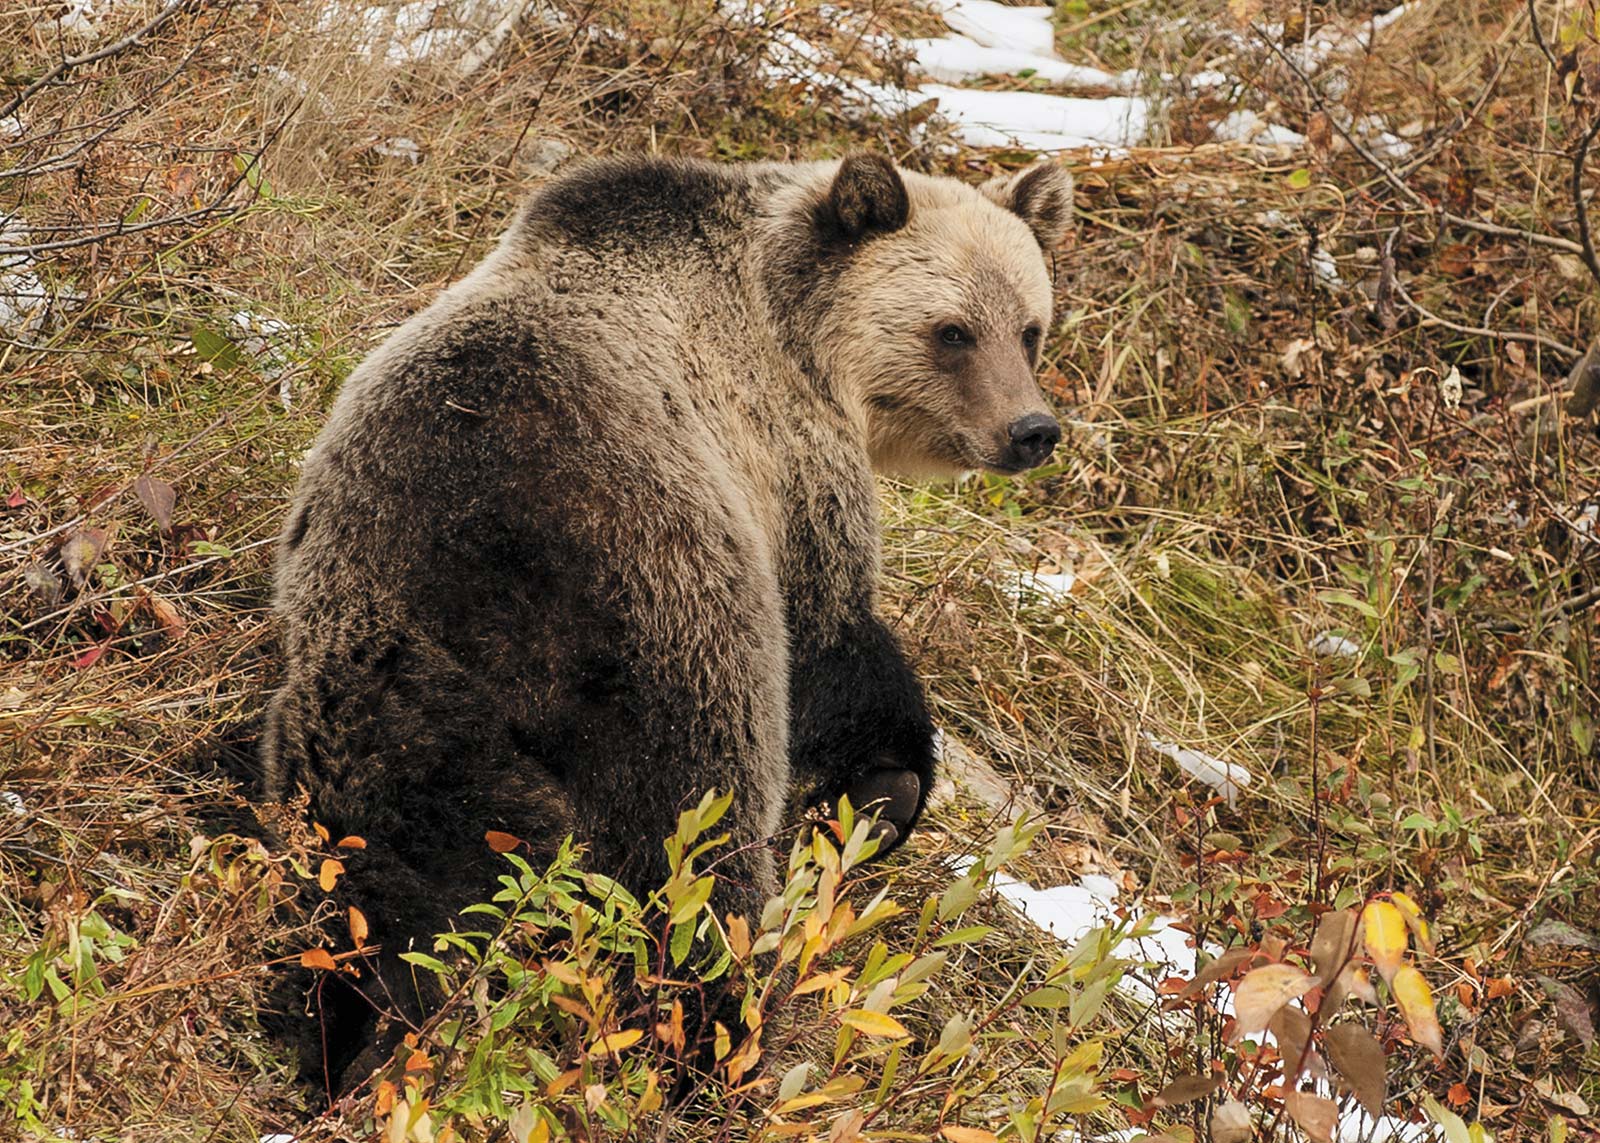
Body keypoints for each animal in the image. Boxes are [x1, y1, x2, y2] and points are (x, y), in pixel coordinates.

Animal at [262, 153, 1068, 1088]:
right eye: (953, 331)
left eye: (1030, 329)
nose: (1030, 429)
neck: (797, 328)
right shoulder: (786, 463)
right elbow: (832, 641)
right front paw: (888, 783)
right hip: (661, 616)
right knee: (689, 844)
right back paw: (718, 1039)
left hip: (379, 688)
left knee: (415, 863)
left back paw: (364, 1028)